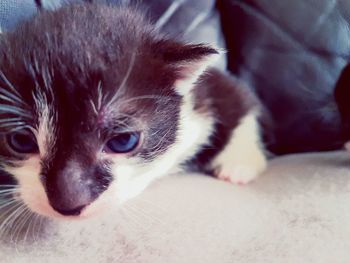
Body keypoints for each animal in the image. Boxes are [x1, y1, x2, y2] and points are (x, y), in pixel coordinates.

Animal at [0, 3, 266, 220]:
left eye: (123, 141)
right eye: (21, 141)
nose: (68, 204)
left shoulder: (206, 90)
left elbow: (237, 96)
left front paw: (239, 162)